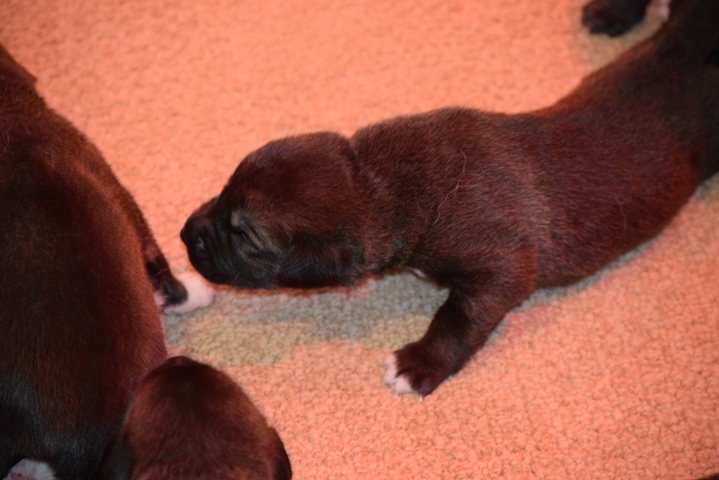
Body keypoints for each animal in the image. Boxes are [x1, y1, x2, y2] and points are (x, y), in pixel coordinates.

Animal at [181, 0, 719, 397]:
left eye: (244, 237)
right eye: (225, 188)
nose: (185, 234)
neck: (379, 183)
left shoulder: (504, 264)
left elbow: (459, 316)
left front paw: (419, 363)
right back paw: (611, 12)